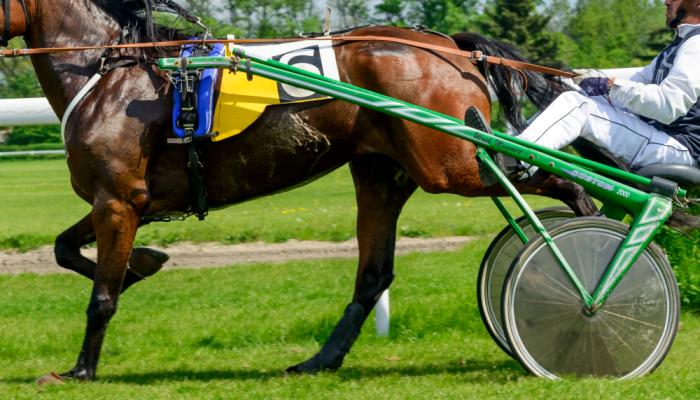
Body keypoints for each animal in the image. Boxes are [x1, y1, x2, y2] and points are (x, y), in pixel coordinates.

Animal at [6, 0, 596, 382]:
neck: (110, 72)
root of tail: (451, 46)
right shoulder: (124, 200)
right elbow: (65, 249)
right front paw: (143, 264)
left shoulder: (119, 199)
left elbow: (101, 295)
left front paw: (80, 369)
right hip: (384, 172)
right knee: (373, 274)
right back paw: (319, 361)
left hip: (448, 164)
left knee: (552, 176)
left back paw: (591, 244)